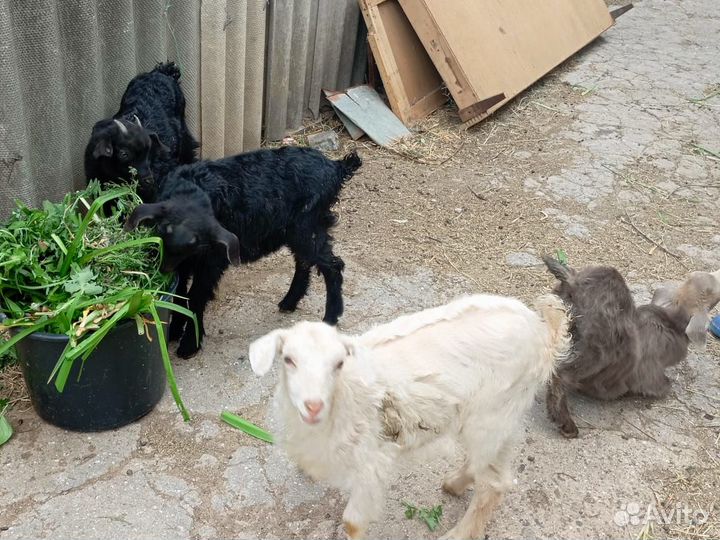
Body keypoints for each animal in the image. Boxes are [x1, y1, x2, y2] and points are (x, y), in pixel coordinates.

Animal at [125, 146, 362, 358]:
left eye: (199, 239)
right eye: (163, 230)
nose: (164, 267)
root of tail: (336, 167)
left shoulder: (212, 260)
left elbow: (196, 297)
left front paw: (189, 344)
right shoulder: (184, 264)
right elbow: (179, 295)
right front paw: (174, 331)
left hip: (307, 225)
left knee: (332, 265)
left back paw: (330, 317)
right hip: (301, 230)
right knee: (305, 261)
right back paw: (289, 302)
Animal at [249, 294, 570, 540]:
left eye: (338, 363)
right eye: (288, 360)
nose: (313, 405)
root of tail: (543, 330)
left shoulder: (371, 463)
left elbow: (352, 521)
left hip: (493, 413)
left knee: (493, 484)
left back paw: (458, 533)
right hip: (498, 415)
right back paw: (454, 484)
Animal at [543, 256, 720, 438]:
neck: (672, 321)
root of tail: (574, 282)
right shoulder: (650, 372)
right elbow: (663, 385)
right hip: (595, 353)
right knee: (559, 377)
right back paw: (566, 424)